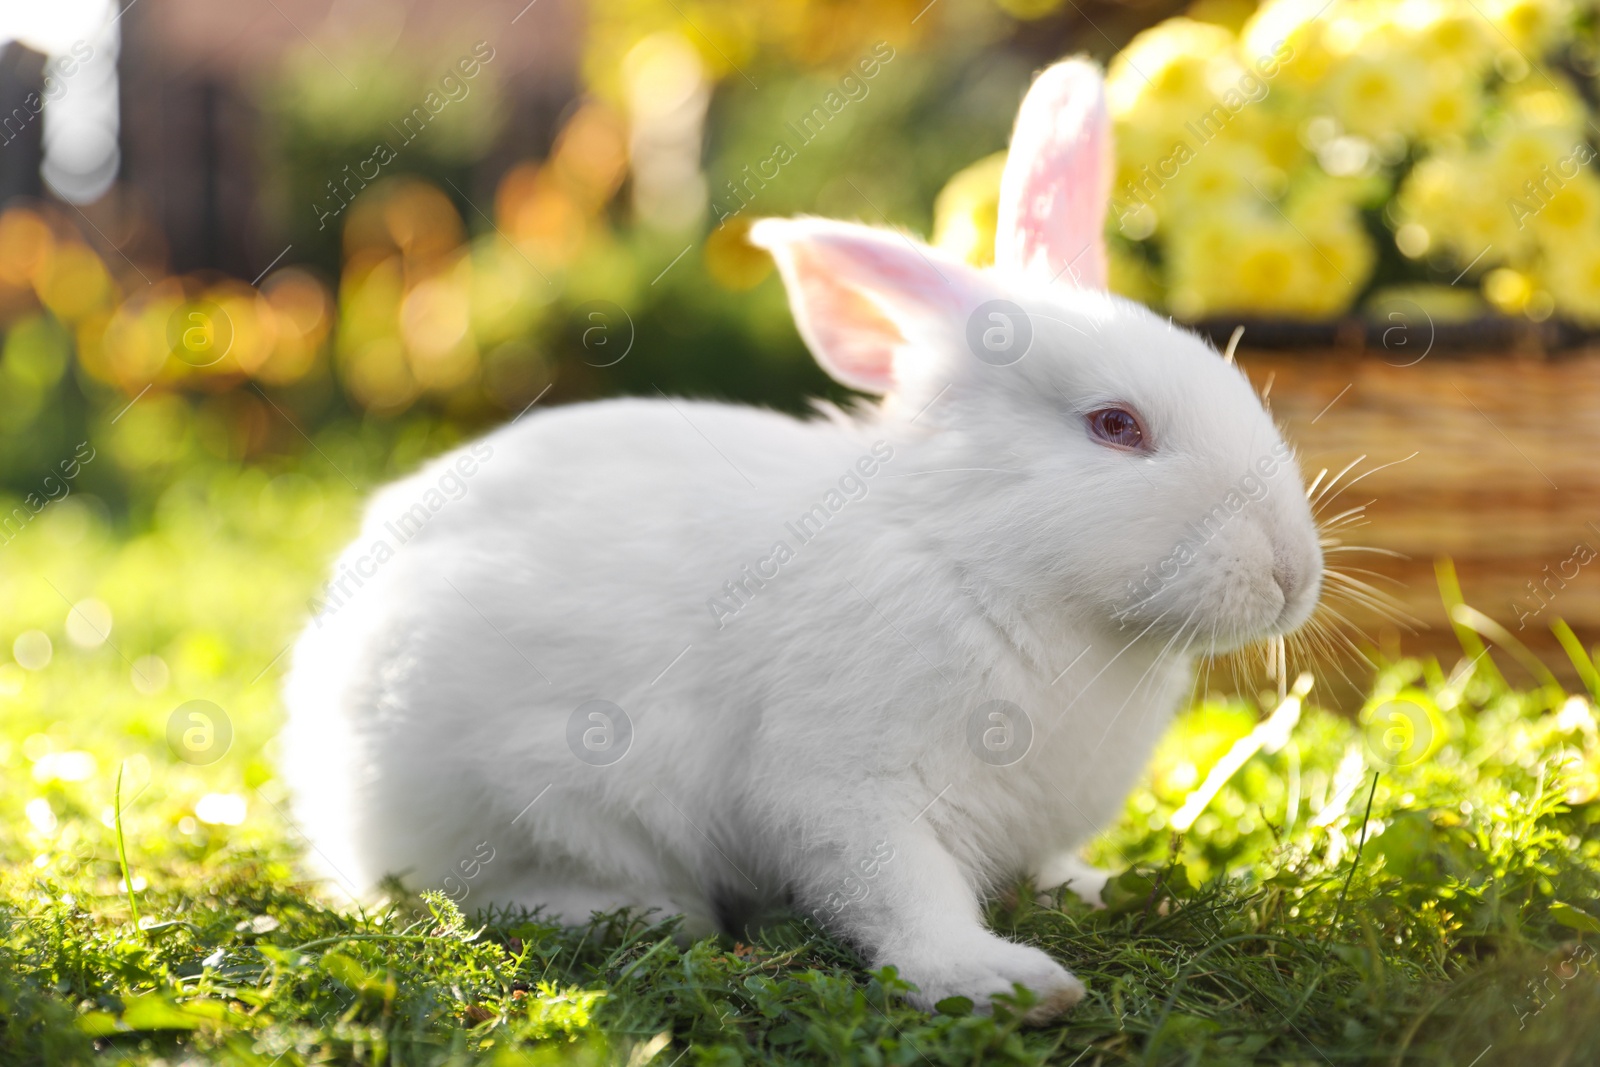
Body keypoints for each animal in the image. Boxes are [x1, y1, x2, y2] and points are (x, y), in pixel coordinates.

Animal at [278, 60, 1324, 1023]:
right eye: (1116, 426)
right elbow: (904, 899)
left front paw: (1102, 893)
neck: (970, 553)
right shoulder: (848, 791)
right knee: (462, 892)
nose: (1293, 573)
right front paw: (1003, 981)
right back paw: (650, 912)